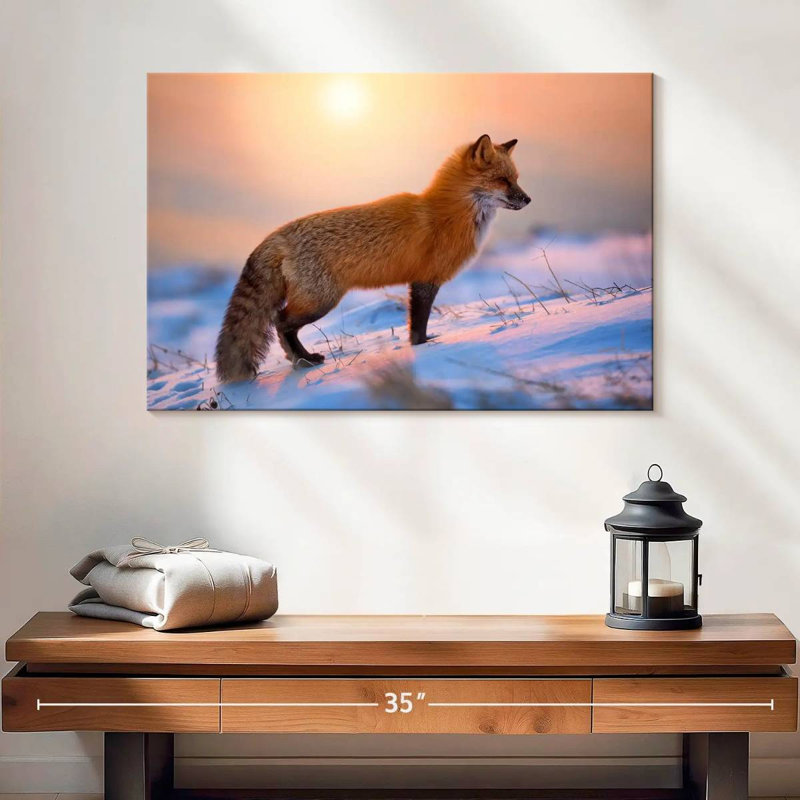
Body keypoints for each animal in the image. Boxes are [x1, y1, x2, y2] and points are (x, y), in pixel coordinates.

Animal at [215, 133, 530, 382]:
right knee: (280, 322)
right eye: (502, 180)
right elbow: (419, 323)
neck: (448, 215)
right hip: (321, 301)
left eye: (516, 179)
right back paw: (303, 359)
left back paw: (301, 359)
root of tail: (276, 236)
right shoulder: (425, 280)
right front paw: (423, 348)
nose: (528, 200)